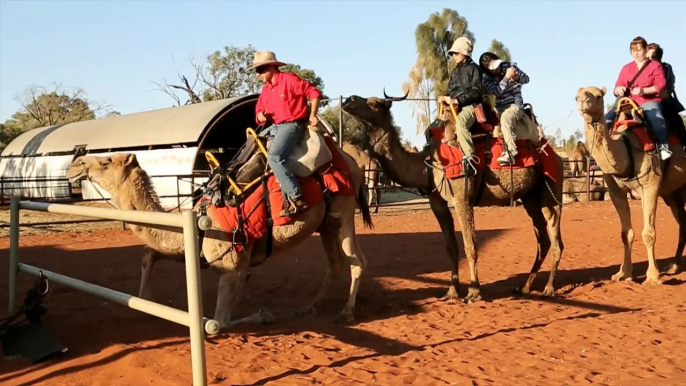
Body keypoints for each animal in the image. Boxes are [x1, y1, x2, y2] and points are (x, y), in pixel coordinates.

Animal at [67, 145, 374, 328]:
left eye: (106, 162)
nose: (75, 163)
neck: (201, 220)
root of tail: (352, 162)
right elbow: (149, 254)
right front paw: (144, 298)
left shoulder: (232, 268)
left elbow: (219, 323)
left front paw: (265, 315)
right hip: (326, 224)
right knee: (335, 263)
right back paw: (311, 308)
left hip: (345, 212)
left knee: (357, 260)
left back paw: (346, 312)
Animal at [342, 93, 568, 302]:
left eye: (374, 103)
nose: (348, 100)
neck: (428, 165)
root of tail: (555, 154)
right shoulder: (437, 202)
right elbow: (451, 247)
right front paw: (451, 291)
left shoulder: (462, 198)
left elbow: (470, 244)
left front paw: (474, 293)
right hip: (530, 197)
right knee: (542, 239)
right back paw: (524, 287)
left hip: (551, 189)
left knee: (555, 235)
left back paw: (548, 289)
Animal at [576, 86, 686, 282]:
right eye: (576, 97)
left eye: (598, 96)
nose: (583, 101)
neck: (626, 150)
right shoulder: (616, 192)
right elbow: (625, 233)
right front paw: (623, 273)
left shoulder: (650, 188)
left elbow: (649, 233)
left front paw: (653, 276)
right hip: (673, 193)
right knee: (682, 221)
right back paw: (674, 266)